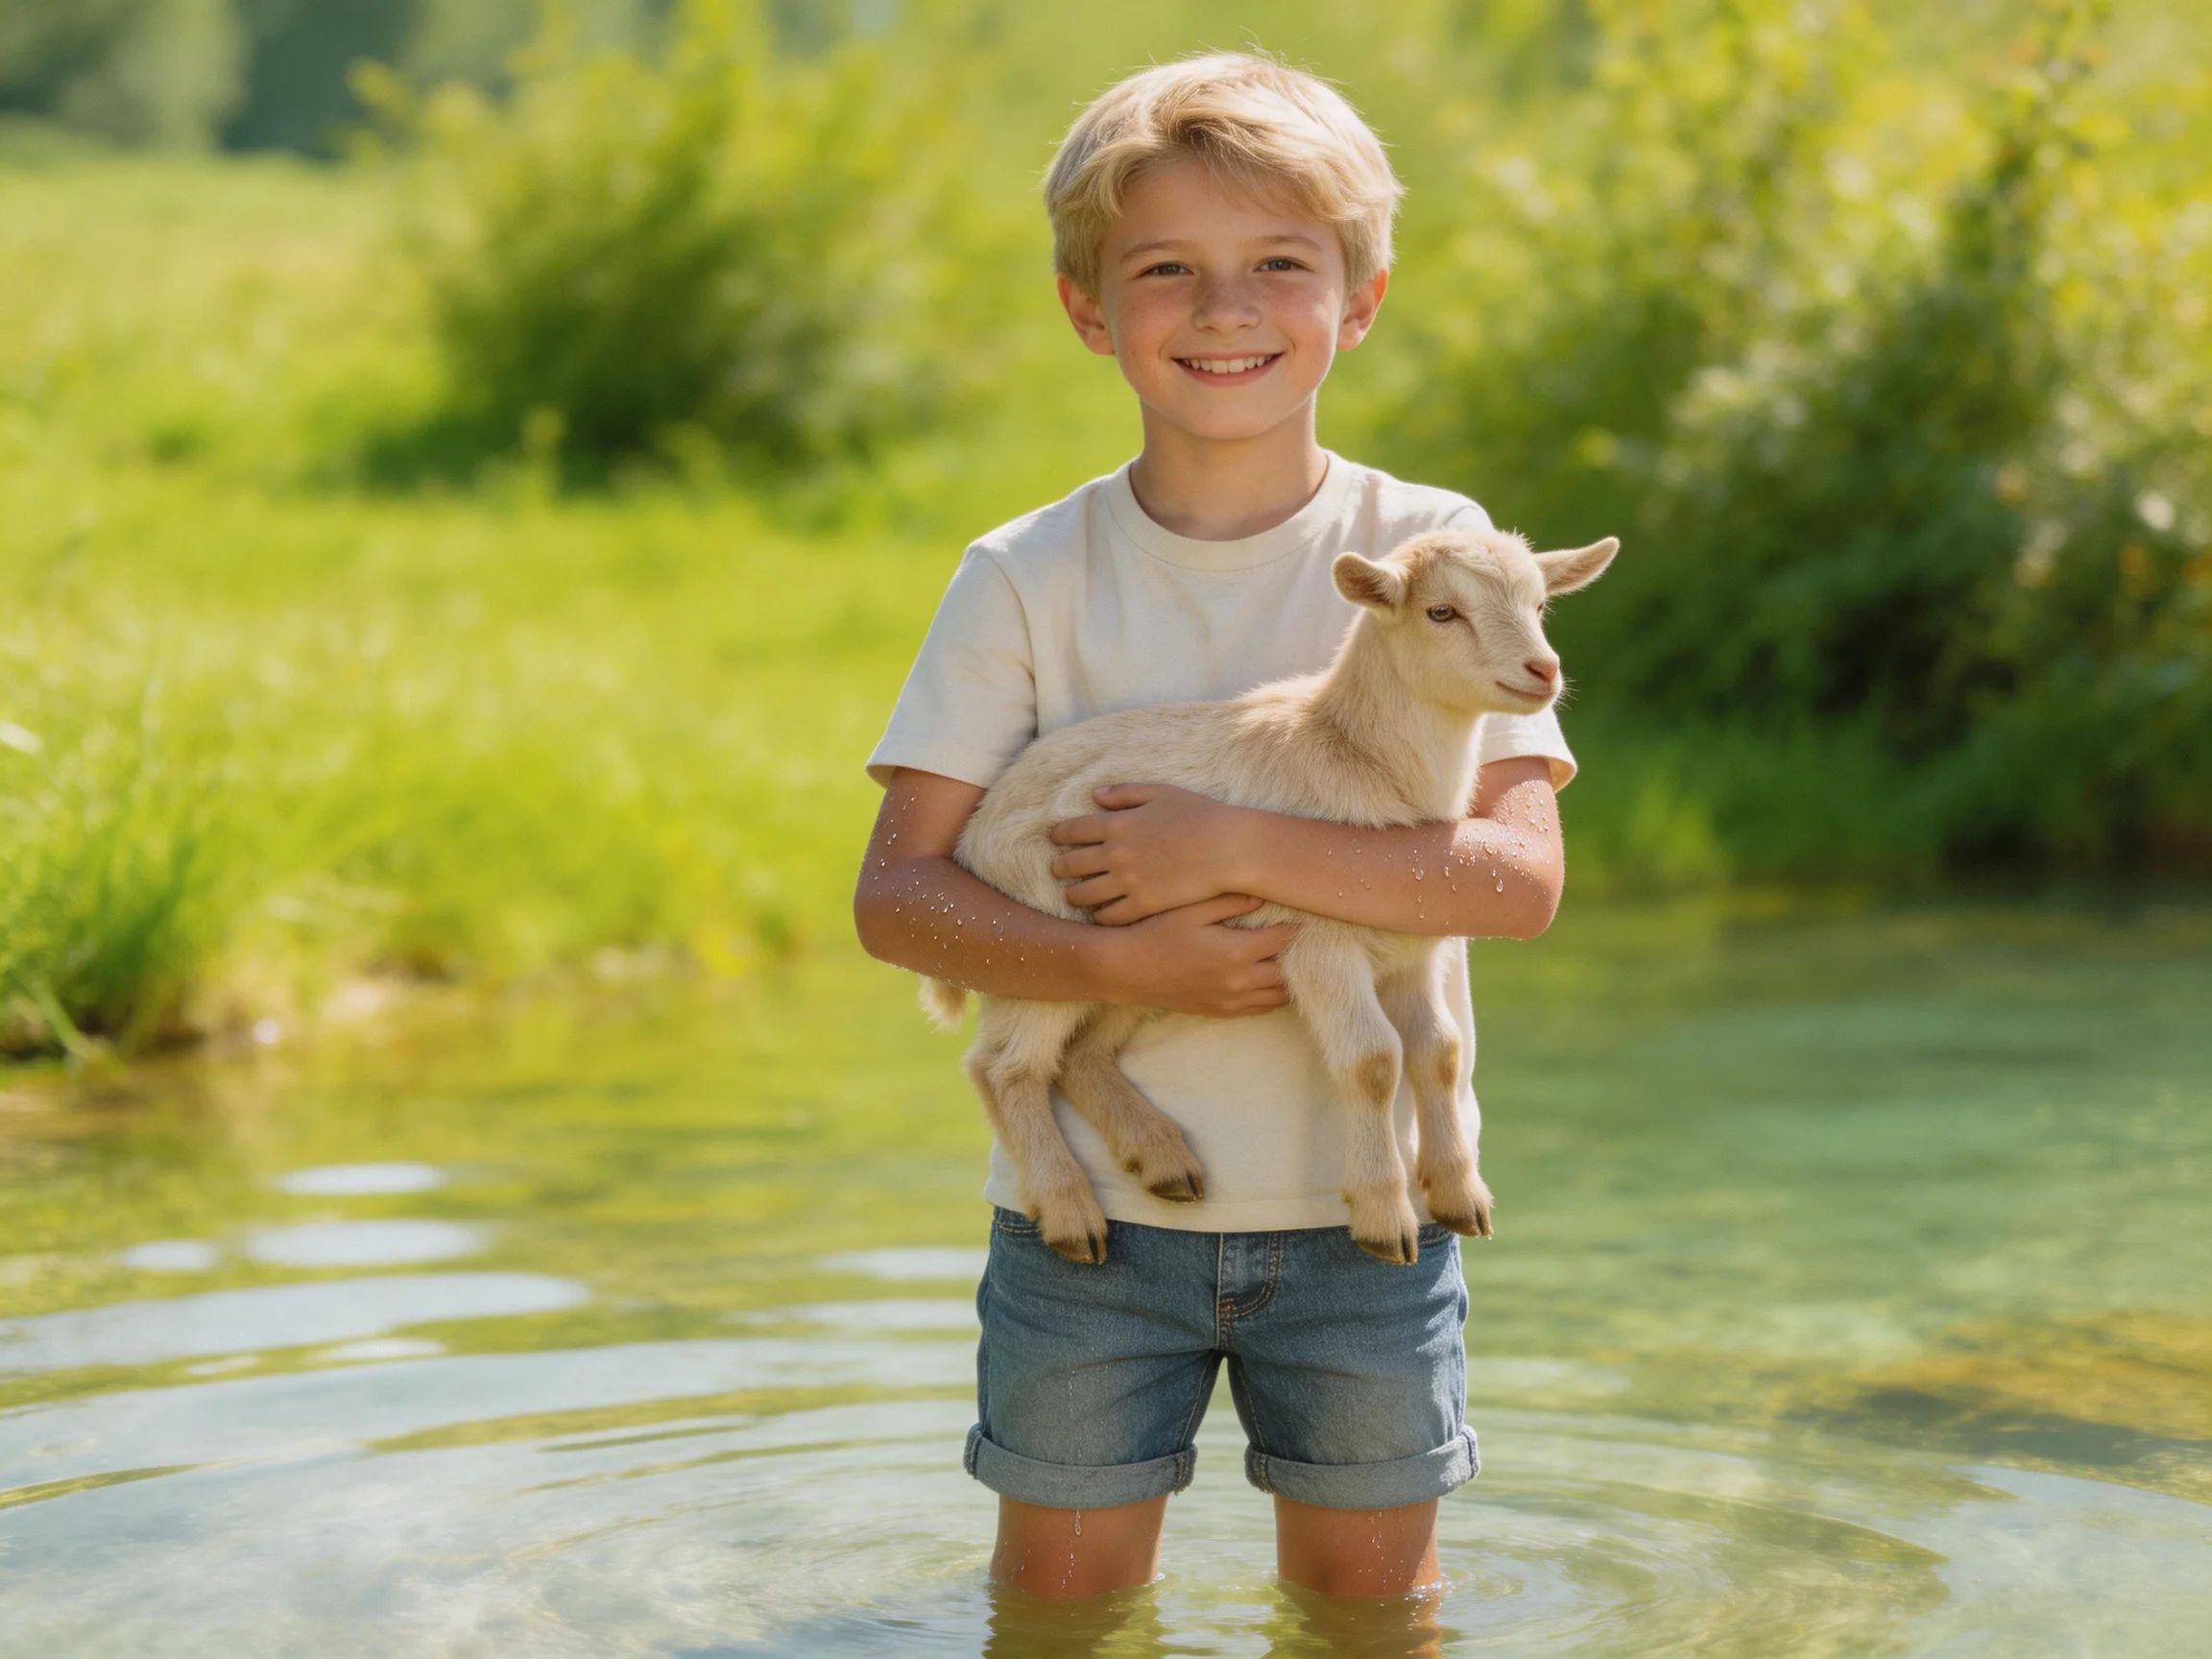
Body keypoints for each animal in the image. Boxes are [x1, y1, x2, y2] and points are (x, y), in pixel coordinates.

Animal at [922, 526, 1618, 1265]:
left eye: (1540, 605)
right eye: (1441, 612)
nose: (1543, 670)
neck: (1357, 754)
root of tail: (972, 835)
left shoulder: (1415, 949)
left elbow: (1440, 1052)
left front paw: (1460, 1196)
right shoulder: (1319, 945)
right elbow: (1375, 1061)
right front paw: (1383, 1215)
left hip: (1129, 966)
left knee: (1078, 1055)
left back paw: (1163, 1160)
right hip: (1036, 940)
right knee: (1003, 1068)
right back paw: (1069, 1212)